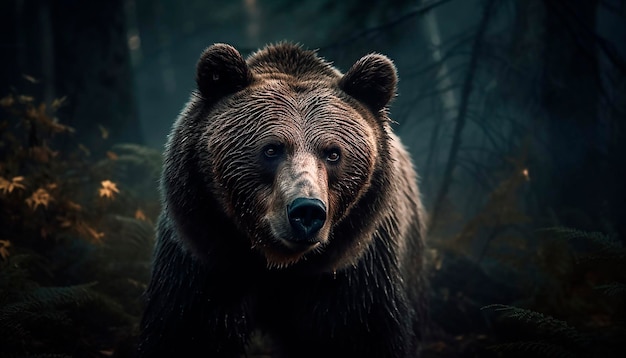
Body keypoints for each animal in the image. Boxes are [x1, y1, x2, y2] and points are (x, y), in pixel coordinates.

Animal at [138, 42, 426, 358]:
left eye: (333, 153)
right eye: (271, 149)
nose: (307, 211)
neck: (278, 266)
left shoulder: (357, 275)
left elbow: (363, 335)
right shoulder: (203, 262)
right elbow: (185, 332)